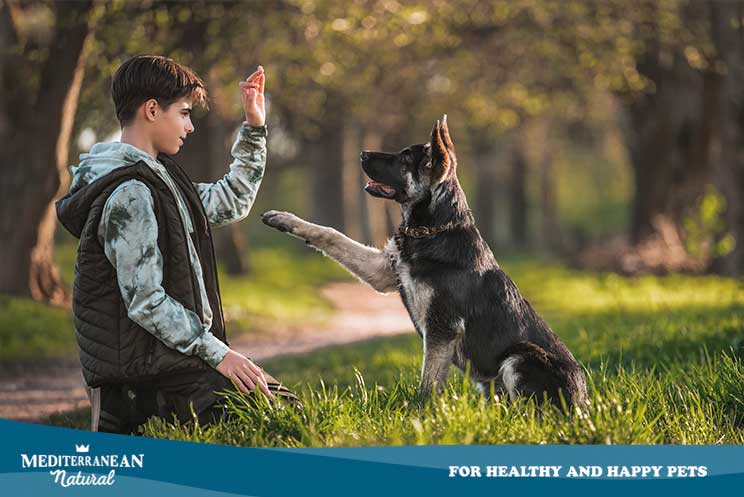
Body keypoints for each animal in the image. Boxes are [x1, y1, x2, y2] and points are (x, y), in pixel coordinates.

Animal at [262, 116, 588, 406]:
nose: (362, 153)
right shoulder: (384, 272)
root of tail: (582, 405)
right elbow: (331, 235)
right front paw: (284, 219)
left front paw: (422, 415)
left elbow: (428, 386)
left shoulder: (442, 329)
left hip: (519, 356)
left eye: (405, 159)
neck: (432, 229)